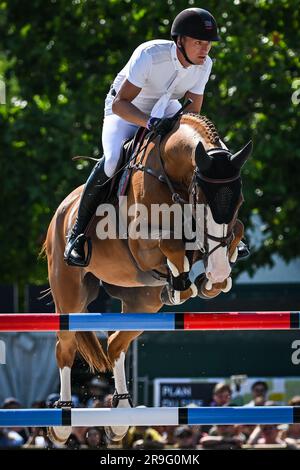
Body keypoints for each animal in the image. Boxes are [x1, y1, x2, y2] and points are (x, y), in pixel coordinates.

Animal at [43, 112, 252, 442]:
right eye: (202, 200)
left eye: (240, 200)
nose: (218, 272)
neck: (171, 174)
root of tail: (62, 209)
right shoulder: (142, 243)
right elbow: (172, 242)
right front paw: (185, 284)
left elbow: (235, 229)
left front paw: (213, 278)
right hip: (69, 296)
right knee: (65, 346)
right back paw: (62, 422)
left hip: (143, 302)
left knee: (115, 343)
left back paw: (120, 416)